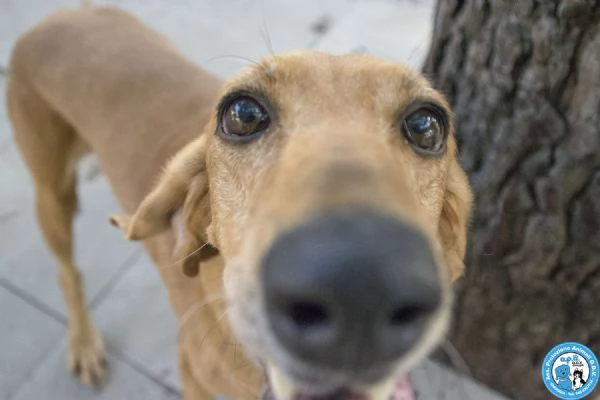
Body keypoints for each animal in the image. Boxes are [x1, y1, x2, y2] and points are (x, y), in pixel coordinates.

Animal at [7, 5, 472, 400]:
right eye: (242, 113)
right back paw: (84, 344)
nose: (360, 287)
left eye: (426, 124)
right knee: (68, 271)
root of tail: (66, 14)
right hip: (52, 195)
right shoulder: (191, 376)